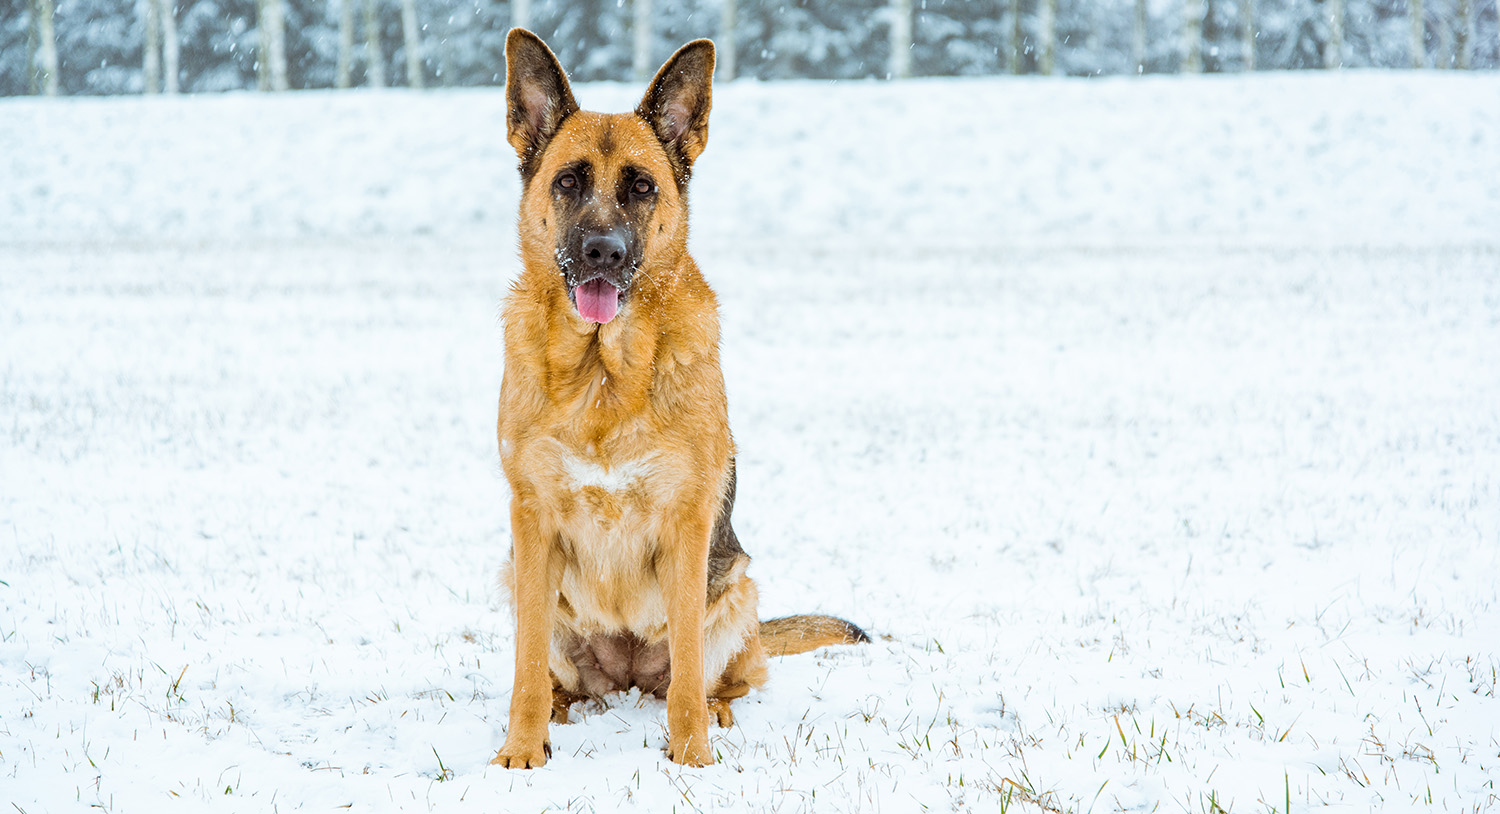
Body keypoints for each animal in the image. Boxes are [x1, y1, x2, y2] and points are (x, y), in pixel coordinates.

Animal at [492, 30, 870, 773]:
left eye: (642, 188)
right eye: (568, 181)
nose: (603, 252)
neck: (603, 377)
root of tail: (625, 677)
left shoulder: (688, 526)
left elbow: (690, 673)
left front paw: (692, 758)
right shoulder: (532, 523)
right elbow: (522, 671)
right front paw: (521, 753)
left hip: (735, 587)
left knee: (724, 676)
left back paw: (719, 711)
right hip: (515, 576)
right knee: (552, 674)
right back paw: (561, 711)